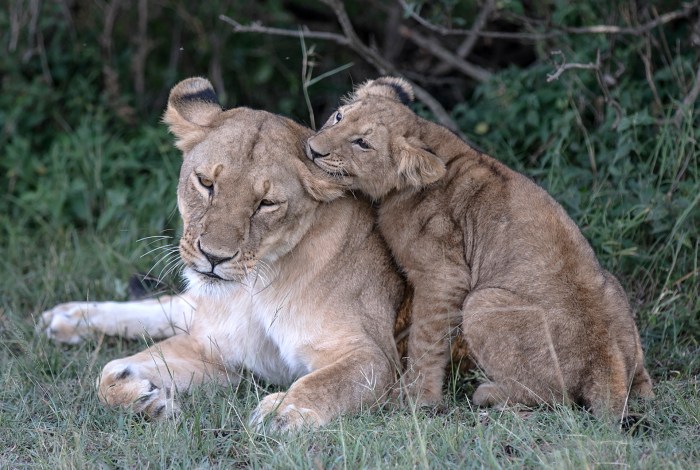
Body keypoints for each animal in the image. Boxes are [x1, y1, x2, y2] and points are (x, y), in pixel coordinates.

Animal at [39, 77, 406, 432]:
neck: (255, 289)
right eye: (205, 183)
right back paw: (66, 317)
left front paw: (283, 413)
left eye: (266, 203)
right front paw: (146, 400)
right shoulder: (213, 351)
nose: (214, 257)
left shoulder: (374, 356)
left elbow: (326, 382)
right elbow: (106, 376)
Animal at [305, 76, 653, 418]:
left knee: (556, 400)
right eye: (338, 116)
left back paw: (490, 394)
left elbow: (426, 339)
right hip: (613, 289)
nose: (312, 150)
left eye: (362, 143)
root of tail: (606, 362)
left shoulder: (443, 276)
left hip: (481, 303)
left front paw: (416, 397)